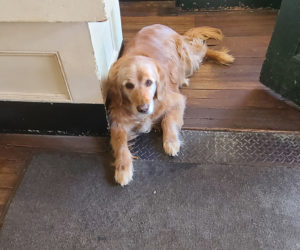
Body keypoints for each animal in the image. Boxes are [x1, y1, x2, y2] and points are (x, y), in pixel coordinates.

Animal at [104, 24, 233, 186]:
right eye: (128, 85)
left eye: (149, 82)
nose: (143, 108)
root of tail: (159, 25)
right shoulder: (117, 121)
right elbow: (120, 143)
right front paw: (123, 168)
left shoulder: (176, 100)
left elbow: (167, 120)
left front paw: (171, 142)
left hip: (187, 59)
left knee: (201, 49)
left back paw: (221, 56)